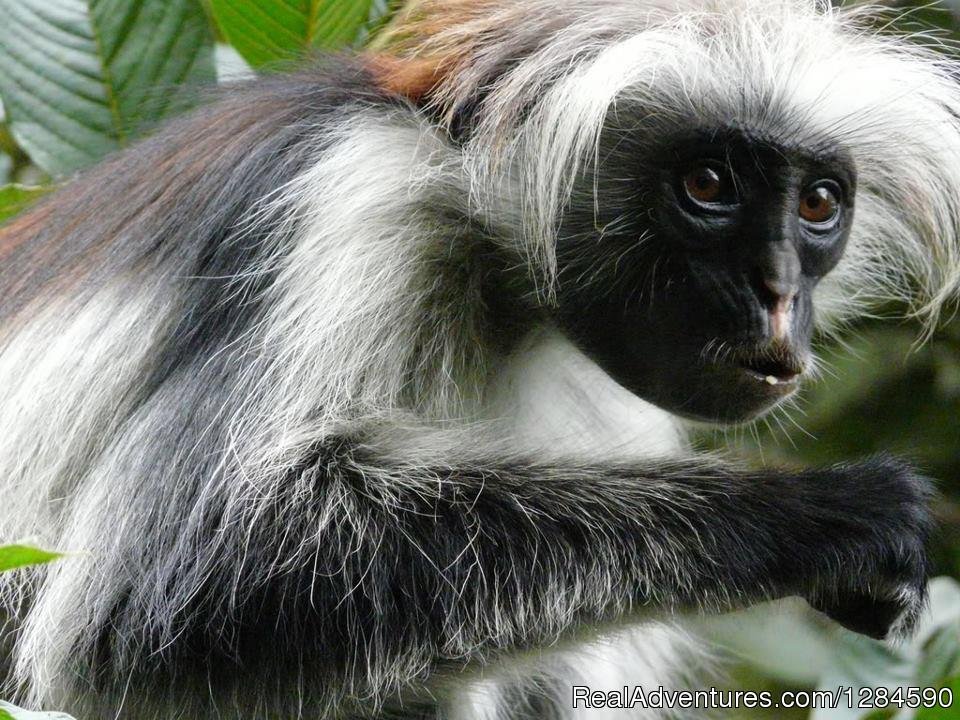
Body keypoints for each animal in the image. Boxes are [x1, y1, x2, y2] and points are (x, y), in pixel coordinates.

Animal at [1, 1, 960, 720]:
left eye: (819, 204)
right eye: (708, 186)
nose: (779, 292)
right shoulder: (347, 194)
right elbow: (167, 591)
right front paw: (825, 515)